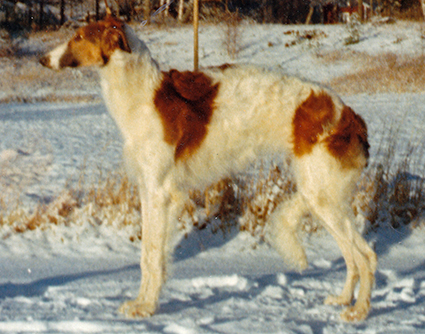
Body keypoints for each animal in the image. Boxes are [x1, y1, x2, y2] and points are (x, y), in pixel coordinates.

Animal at [39, 15, 376, 320]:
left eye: (79, 37)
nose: (42, 59)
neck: (143, 95)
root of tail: (349, 115)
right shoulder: (150, 190)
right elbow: (150, 255)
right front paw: (142, 302)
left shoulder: (160, 191)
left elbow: (152, 255)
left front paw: (145, 308)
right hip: (323, 195)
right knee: (354, 256)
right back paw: (343, 300)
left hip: (321, 195)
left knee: (366, 257)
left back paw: (358, 312)